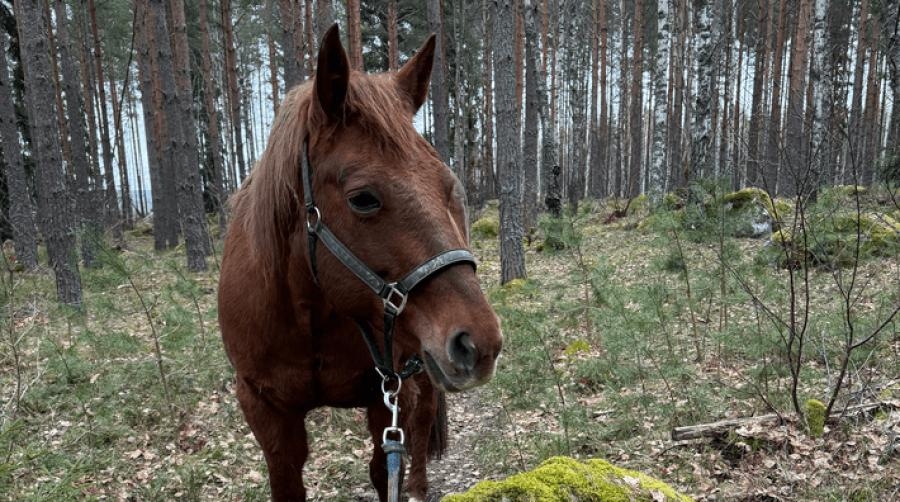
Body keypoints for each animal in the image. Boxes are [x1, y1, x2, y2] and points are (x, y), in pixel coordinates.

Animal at [215, 25, 502, 500]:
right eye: (363, 199)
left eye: (446, 185)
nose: (480, 343)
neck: (307, 312)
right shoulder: (265, 410)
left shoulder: (389, 395)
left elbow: (390, 464)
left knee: (424, 420)